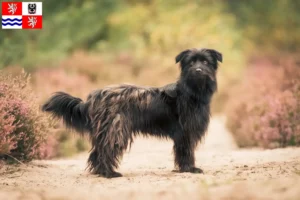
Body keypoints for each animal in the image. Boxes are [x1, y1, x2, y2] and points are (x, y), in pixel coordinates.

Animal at [41, 48, 223, 178]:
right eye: (191, 63)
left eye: (205, 61)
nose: (198, 70)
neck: (191, 92)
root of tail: (95, 96)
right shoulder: (185, 132)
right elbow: (186, 151)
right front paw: (189, 168)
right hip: (116, 129)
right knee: (105, 151)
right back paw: (109, 173)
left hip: (107, 130)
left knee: (96, 152)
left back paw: (101, 172)